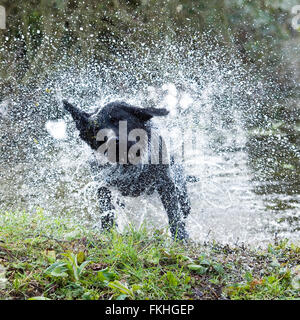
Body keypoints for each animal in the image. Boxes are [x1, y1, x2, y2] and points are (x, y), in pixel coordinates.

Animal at [62, 100, 191, 240]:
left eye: (119, 120)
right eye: (97, 130)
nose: (112, 142)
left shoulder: (165, 181)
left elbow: (173, 212)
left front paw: (181, 236)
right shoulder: (102, 184)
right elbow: (106, 211)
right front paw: (107, 232)